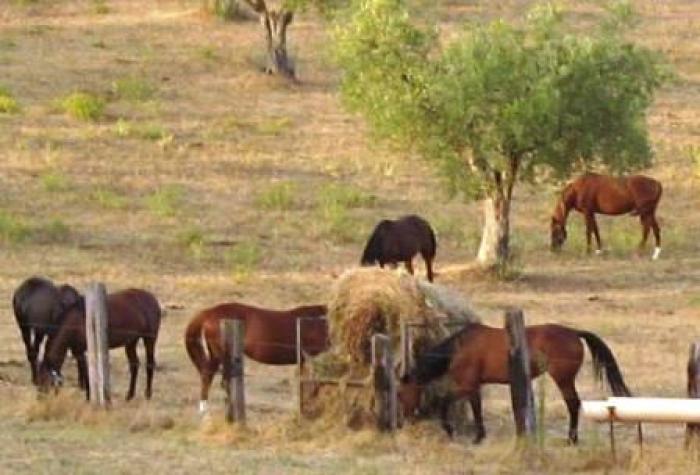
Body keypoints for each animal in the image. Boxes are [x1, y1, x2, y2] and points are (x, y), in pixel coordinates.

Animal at [398, 322, 631, 444]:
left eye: (401, 394)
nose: (404, 420)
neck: (458, 348)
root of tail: (573, 332)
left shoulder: (466, 385)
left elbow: (445, 402)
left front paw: (452, 430)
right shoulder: (474, 387)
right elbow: (476, 409)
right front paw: (479, 435)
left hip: (563, 379)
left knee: (573, 405)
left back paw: (571, 438)